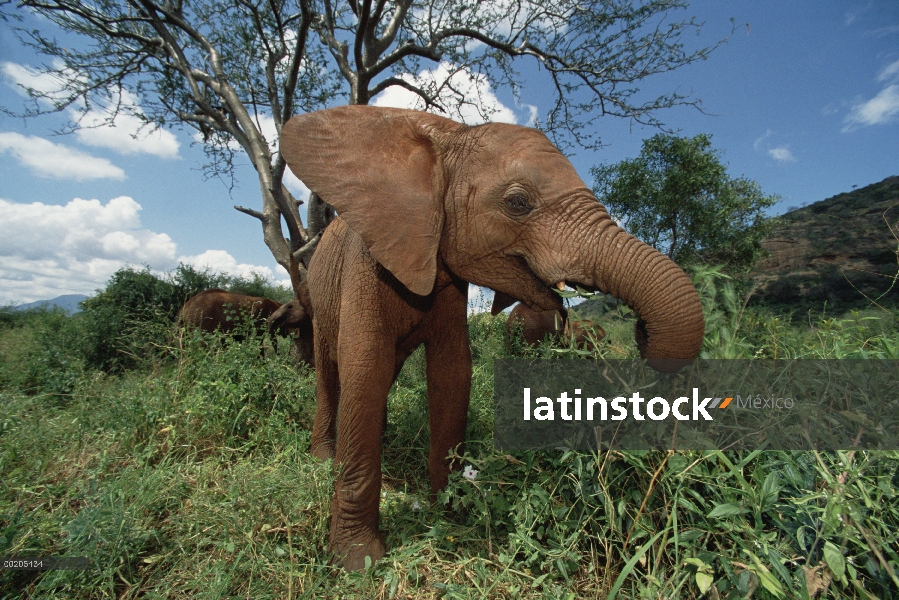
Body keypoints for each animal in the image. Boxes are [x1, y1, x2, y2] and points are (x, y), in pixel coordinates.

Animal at [278, 105, 708, 568]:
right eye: (517, 203)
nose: (640, 329)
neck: (444, 142)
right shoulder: (367, 261)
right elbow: (365, 370)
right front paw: (359, 561)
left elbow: (452, 374)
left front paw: (449, 514)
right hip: (319, 294)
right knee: (330, 372)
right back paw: (325, 457)